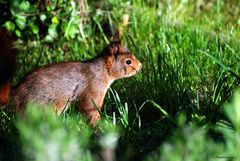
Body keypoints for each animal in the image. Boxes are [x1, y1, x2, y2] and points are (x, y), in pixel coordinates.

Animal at [0, 28, 142, 125]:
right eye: (128, 61)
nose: (140, 66)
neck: (101, 70)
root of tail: (14, 95)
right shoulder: (94, 88)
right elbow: (90, 109)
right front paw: (97, 125)